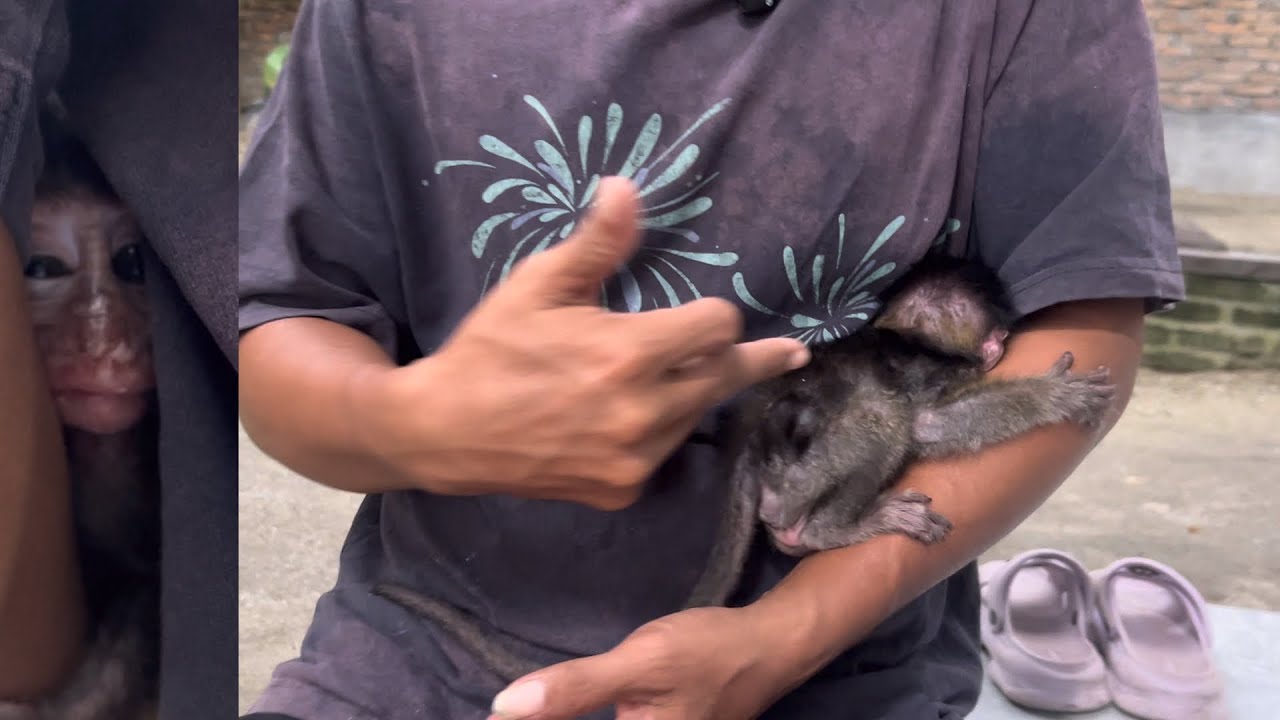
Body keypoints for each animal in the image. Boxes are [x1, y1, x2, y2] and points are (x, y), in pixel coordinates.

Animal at [372, 252, 1116, 685]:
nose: (1002, 343)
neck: (912, 337)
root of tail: (754, 447)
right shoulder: (938, 375)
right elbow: (930, 424)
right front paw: (1053, 398)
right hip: (802, 474)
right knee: (878, 418)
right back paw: (825, 530)